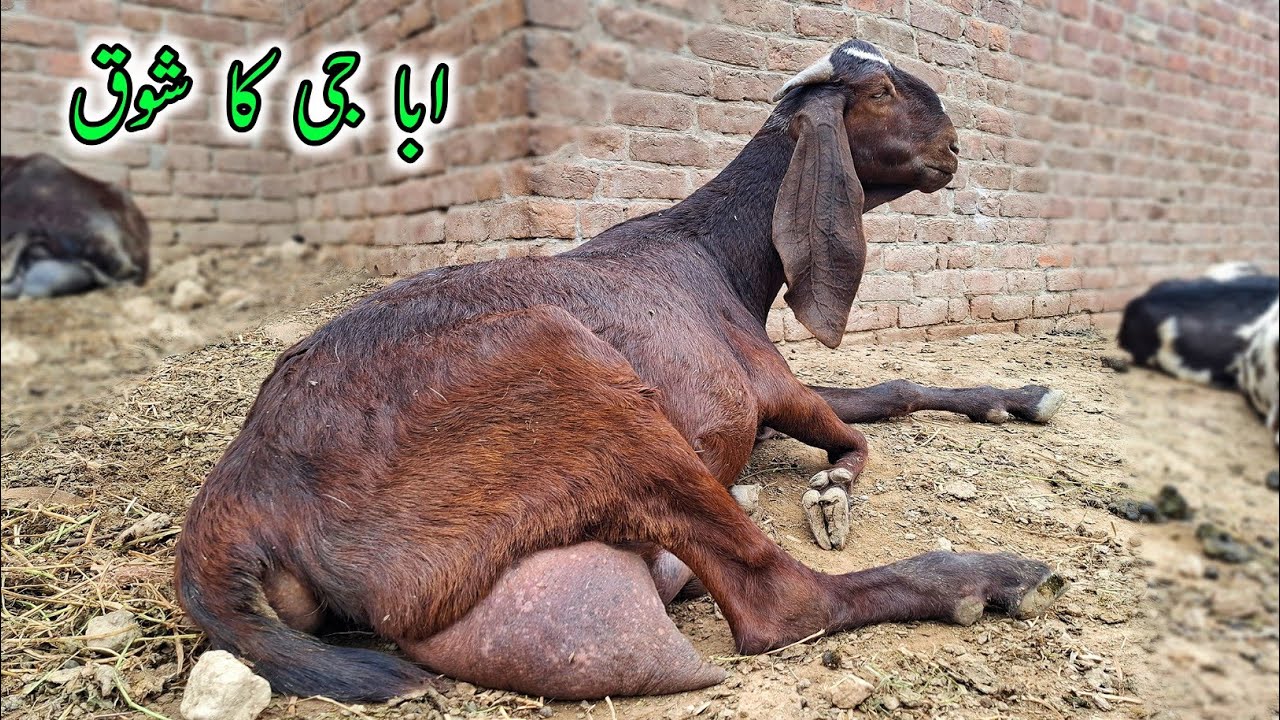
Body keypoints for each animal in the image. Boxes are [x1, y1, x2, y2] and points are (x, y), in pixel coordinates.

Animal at [175, 40, 1067, 702]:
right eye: (881, 90)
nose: (953, 148)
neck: (716, 252)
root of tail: (243, 499)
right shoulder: (766, 385)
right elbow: (854, 429)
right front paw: (833, 489)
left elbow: (889, 389)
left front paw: (1019, 397)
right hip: (572, 369)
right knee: (779, 604)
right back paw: (988, 577)